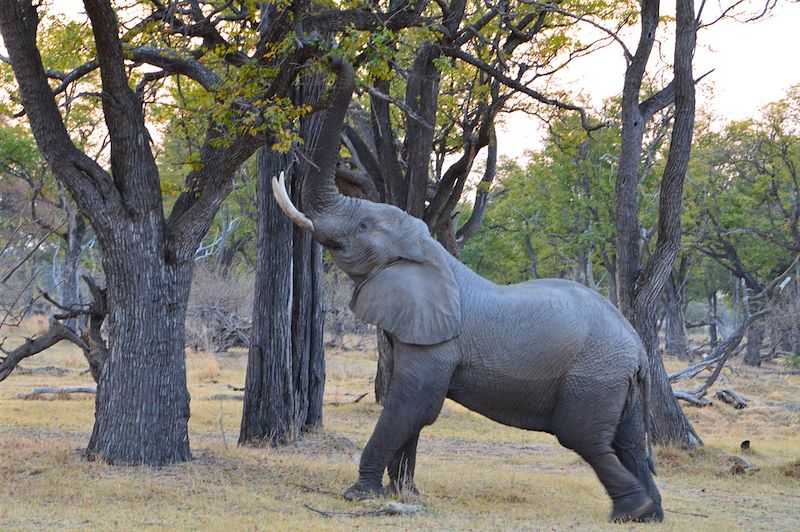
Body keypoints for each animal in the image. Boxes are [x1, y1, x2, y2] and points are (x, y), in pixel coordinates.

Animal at [274, 56, 664, 520]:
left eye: (364, 226)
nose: (334, 59)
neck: (432, 253)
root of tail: (639, 350)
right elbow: (409, 407)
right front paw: (400, 491)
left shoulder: (436, 344)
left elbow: (412, 402)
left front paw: (359, 493)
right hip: (618, 381)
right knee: (628, 442)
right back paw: (651, 514)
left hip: (594, 375)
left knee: (586, 440)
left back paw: (632, 510)